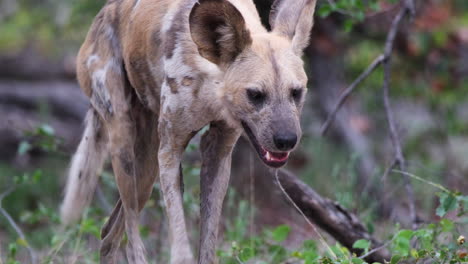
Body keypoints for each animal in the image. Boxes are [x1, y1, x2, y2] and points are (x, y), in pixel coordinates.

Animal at [60, 0, 318, 262]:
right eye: (255, 95)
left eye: (296, 92)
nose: (286, 140)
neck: (210, 81)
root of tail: (103, 15)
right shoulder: (170, 152)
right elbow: (181, 248)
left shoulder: (217, 153)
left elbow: (208, 244)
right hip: (125, 145)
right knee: (131, 236)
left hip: (146, 168)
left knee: (109, 234)